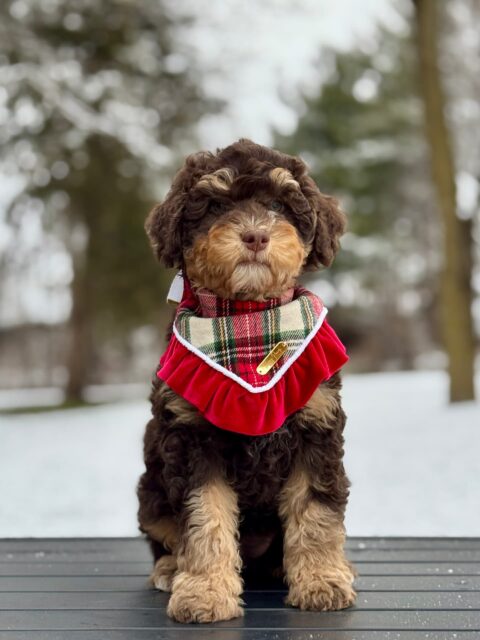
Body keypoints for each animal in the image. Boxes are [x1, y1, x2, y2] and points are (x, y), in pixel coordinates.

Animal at [137, 139, 354, 620]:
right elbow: (205, 516)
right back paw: (169, 570)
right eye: (216, 206)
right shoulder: (192, 438)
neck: (248, 316)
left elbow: (316, 510)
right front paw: (203, 592)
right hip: (150, 490)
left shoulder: (317, 427)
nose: (255, 236)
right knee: (163, 534)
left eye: (279, 204)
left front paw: (322, 581)